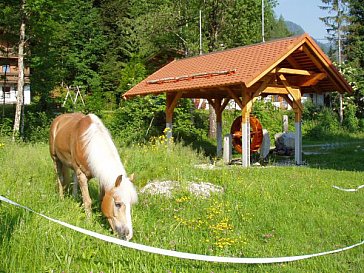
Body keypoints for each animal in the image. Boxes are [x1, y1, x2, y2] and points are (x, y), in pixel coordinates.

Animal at [49, 111, 137, 239]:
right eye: (118, 204)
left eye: (131, 204)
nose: (127, 235)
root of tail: (58, 119)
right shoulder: (82, 175)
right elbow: (88, 201)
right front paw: (89, 223)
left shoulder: (101, 178)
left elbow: (100, 199)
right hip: (56, 159)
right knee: (60, 179)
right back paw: (61, 198)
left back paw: (75, 198)